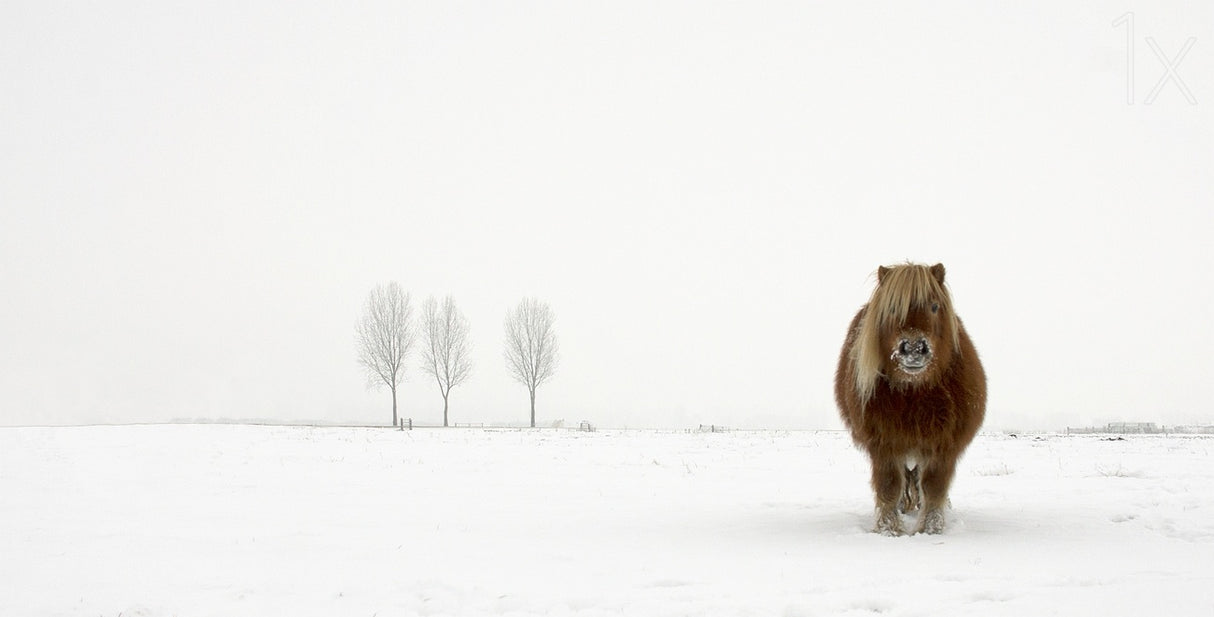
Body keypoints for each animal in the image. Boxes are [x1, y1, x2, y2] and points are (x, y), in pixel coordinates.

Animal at [834, 263, 986, 535]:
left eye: (934, 306)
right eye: (893, 308)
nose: (914, 349)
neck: (915, 393)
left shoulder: (943, 445)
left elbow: (934, 486)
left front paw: (931, 528)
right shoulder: (884, 444)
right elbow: (889, 486)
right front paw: (889, 529)